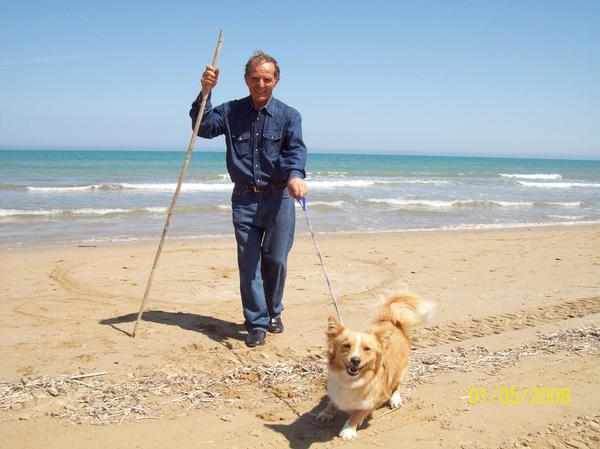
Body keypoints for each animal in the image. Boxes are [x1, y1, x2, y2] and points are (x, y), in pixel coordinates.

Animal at [316, 293, 432, 440]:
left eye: (367, 349)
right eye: (346, 346)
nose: (355, 360)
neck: (350, 380)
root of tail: (390, 320)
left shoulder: (377, 399)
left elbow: (358, 413)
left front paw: (348, 429)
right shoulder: (334, 390)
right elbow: (332, 402)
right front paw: (327, 413)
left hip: (400, 370)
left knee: (397, 385)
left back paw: (395, 399)